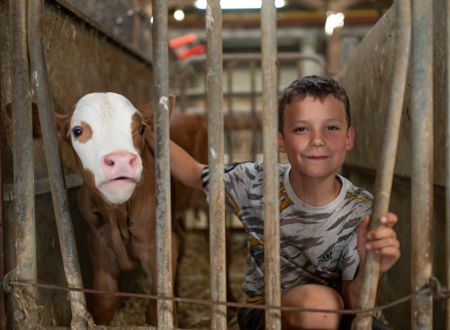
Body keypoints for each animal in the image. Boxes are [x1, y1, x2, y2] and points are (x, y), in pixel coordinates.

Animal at [56, 93, 209, 324]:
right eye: (77, 131)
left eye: (141, 129)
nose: (121, 160)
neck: (118, 215)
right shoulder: (98, 242)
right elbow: (105, 300)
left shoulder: (156, 246)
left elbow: (158, 309)